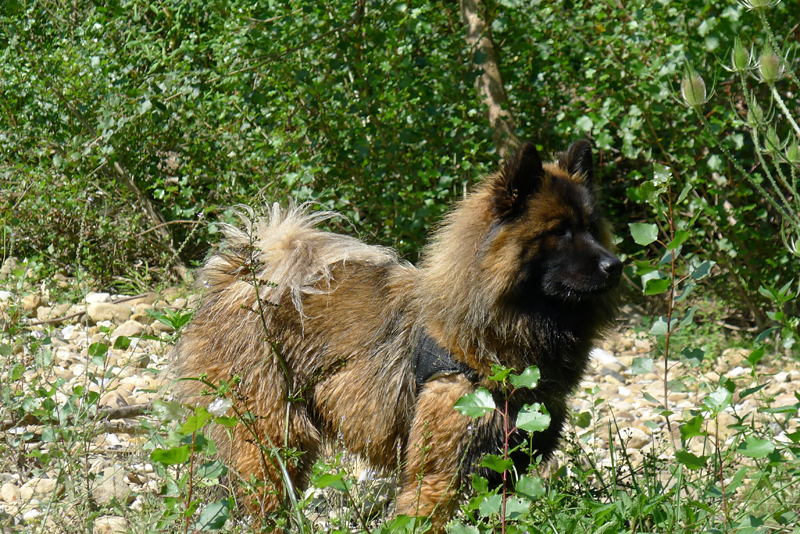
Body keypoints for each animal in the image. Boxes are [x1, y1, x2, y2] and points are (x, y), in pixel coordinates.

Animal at [172, 140, 620, 532]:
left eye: (591, 228)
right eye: (559, 231)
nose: (615, 265)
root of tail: (239, 280)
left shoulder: (504, 469)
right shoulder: (440, 471)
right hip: (272, 434)